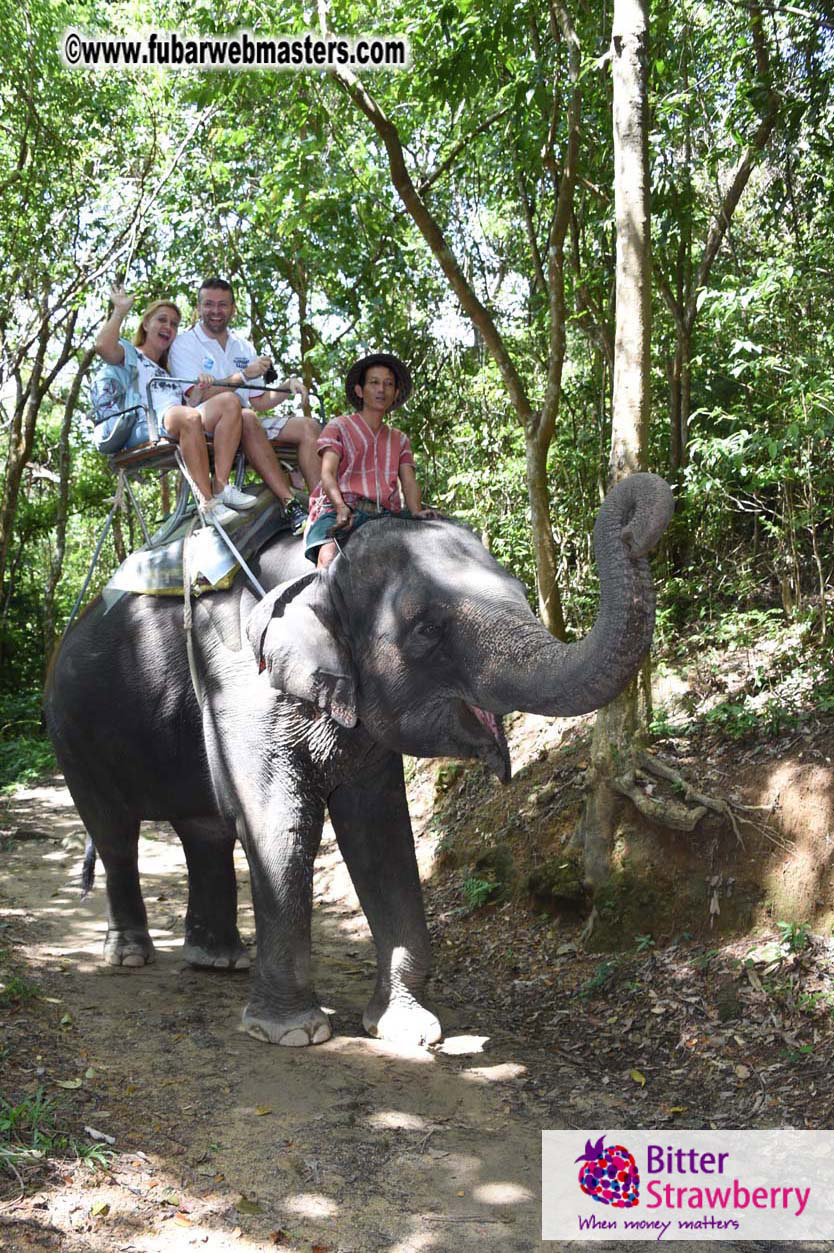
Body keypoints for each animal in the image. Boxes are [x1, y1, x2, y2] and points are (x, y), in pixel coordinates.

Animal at [45, 471, 673, 1048]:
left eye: (520, 592)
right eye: (426, 629)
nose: (634, 524)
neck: (322, 570)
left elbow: (380, 831)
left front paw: (409, 1032)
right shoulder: (241, 682)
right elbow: (278, 824)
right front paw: (293, 1033)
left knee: (204, 833)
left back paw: (218, 960)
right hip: (72, 732)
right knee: (115, 833)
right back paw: (130, 956)